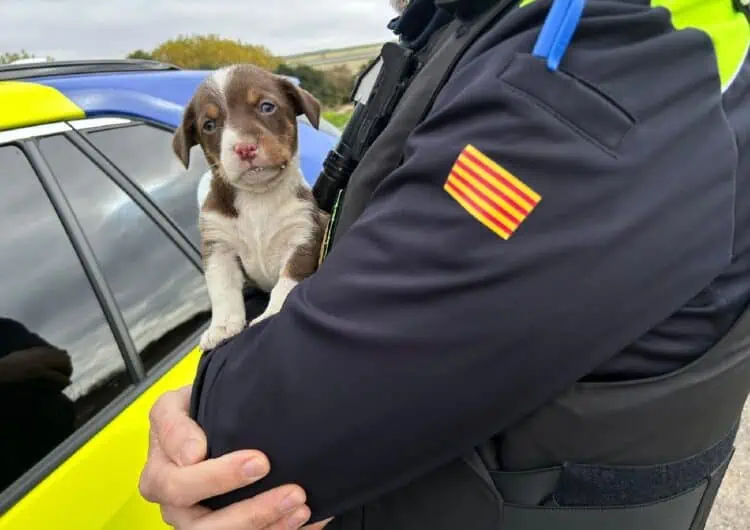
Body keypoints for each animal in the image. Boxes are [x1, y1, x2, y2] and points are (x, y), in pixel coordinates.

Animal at [176, 63, 332, 350]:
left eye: (267, 106)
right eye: (209, 125)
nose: (244, 148)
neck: (258, 197)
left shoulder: (303, 234)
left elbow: (287, 281)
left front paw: (273, 311)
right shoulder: (218, 246)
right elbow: (222, 289)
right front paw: (222, 326)